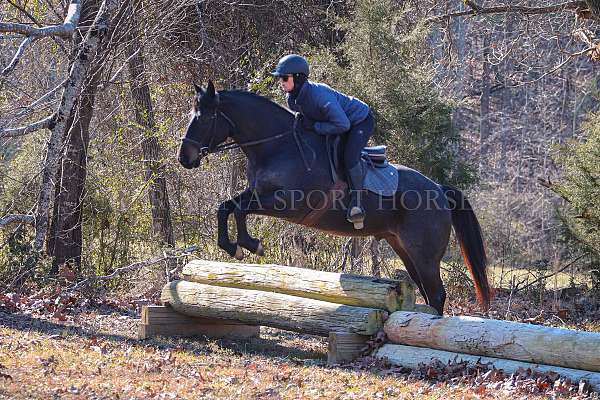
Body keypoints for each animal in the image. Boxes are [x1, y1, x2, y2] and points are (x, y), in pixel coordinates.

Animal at [177, 79, 488, 314]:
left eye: (203, 118)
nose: (184, 158)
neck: (278, 146)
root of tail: (439, 189)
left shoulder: (287, 203)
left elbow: (240, 210)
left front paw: (251, 244)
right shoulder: (257, 193)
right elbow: (226, 207)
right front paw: (233, 247)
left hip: (424, 254)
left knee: (436, 295)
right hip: (403, 247)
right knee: (426, 291)